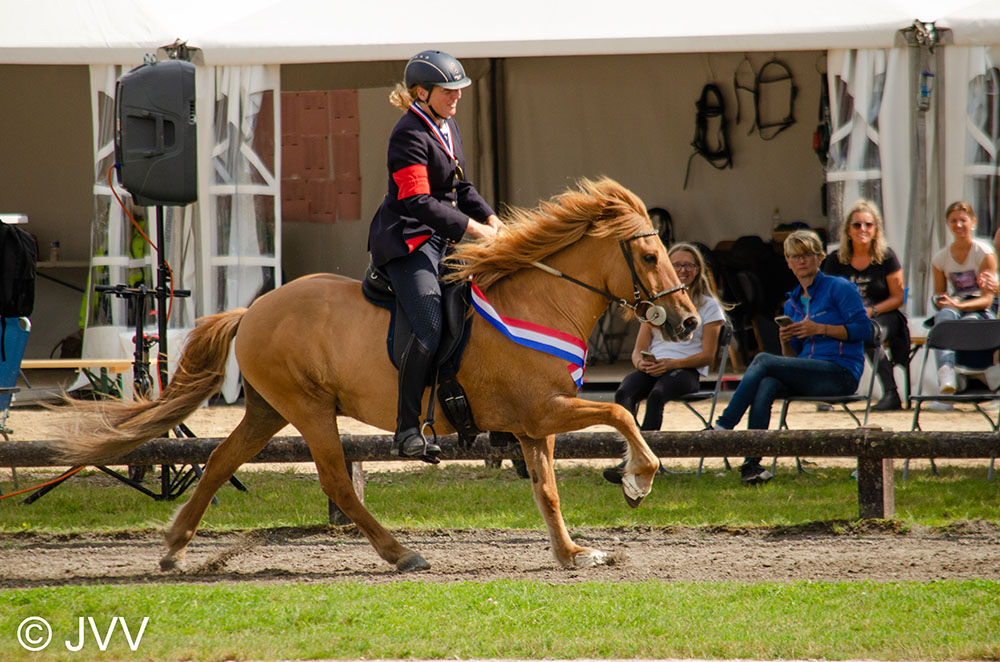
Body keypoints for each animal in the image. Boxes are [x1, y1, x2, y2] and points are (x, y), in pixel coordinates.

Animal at [52, 176, 696, 572]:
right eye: (647, 255)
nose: (688, 321)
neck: (539, 301)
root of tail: (253, 310)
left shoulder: (534, 424)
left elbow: (548, 491)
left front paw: (572, 553)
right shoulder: (545, 410)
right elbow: (620, 412)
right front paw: (637, 480)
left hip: (268, 410)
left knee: (218, 463)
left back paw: (174, 549)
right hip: (309, 409)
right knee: (336, 483)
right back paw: (400, 552)